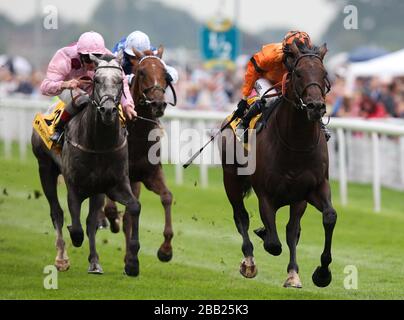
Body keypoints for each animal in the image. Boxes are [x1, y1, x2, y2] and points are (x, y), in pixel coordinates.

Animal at [30, 54, 140, 276]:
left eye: (120, 80)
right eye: (96, 80)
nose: (108, 110)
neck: (99, 144)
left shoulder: (113, 185)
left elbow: (134, 207)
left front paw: (132, 262)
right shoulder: (74, 186)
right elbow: (76, 227)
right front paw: (73, 238)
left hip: (96, 190)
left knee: (90, 222)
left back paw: (95, 262)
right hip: (44, 168)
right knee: (57, 212)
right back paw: (62, 258)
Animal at [103, 45, 174, 264]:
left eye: (165, 73)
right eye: (142, 72)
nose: (158, 104)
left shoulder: (150, 174)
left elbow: (167, 197)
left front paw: (165, 250)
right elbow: (113, 208)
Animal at [219, 40, 336, 288]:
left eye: (324, 74)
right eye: (299, 73)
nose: (316, 106)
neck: (295, 144)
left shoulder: (311, 189)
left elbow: (326, 218)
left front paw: (320, 273)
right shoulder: (266, 193)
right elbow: (273, 243)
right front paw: (263, 235)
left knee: (292, 230)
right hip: (231, 179)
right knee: (241, 216)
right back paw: (249, 261)